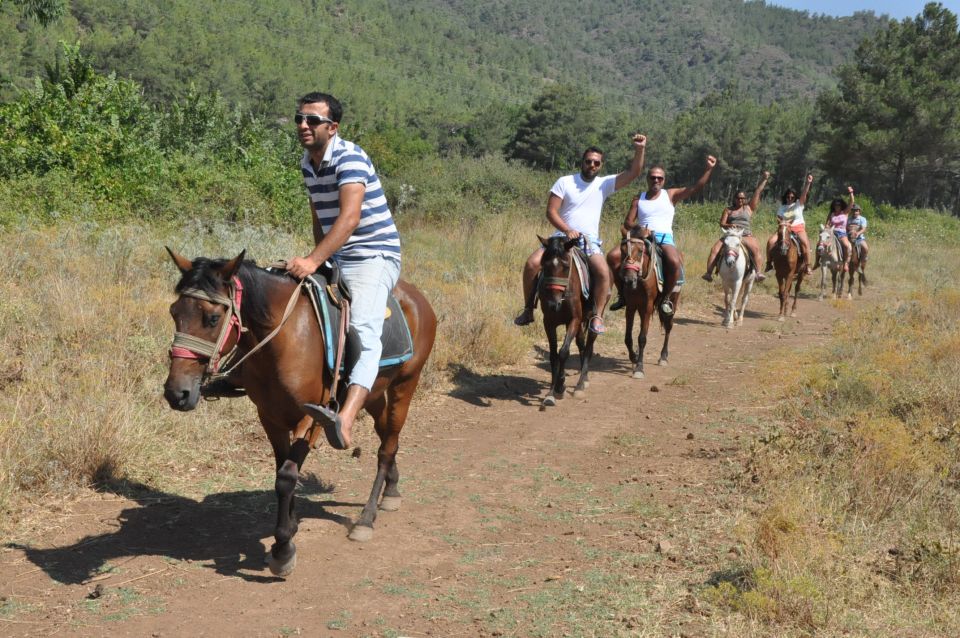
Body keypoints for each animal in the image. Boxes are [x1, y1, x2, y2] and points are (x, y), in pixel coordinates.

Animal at [162, 250, 438, 580]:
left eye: (213, 318)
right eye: (174, 312)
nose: (176, 393)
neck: (284, 338)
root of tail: (419, 298)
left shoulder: (311, 419)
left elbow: (286, 476)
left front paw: (283, 548)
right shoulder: (269, 416)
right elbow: (281, 470)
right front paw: (291, 526)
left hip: (405, 384)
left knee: (387, 446)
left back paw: (366, 518)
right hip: (373, 393)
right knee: (387, 436)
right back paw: (392, 490)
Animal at [536, 236, 596, 410]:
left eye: (566, 266)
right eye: (544, 265)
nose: (553, 304)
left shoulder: (574, 320)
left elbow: (563, 352)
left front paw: (560, 386)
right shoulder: (549, 323)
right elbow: (554, 355)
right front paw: (551, 393)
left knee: (587, 347)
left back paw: (581, 384)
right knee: (581, 344)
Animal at [616, 226, 676, 380]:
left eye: (640, 251)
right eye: (622, 250)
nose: (629, 280)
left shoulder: (647, 307)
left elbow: (642, 338)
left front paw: (639, 368)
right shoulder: (631, 307)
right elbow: (628, 337)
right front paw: (633, 357)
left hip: (673, 301)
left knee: (668, 327)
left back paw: (663, 357)